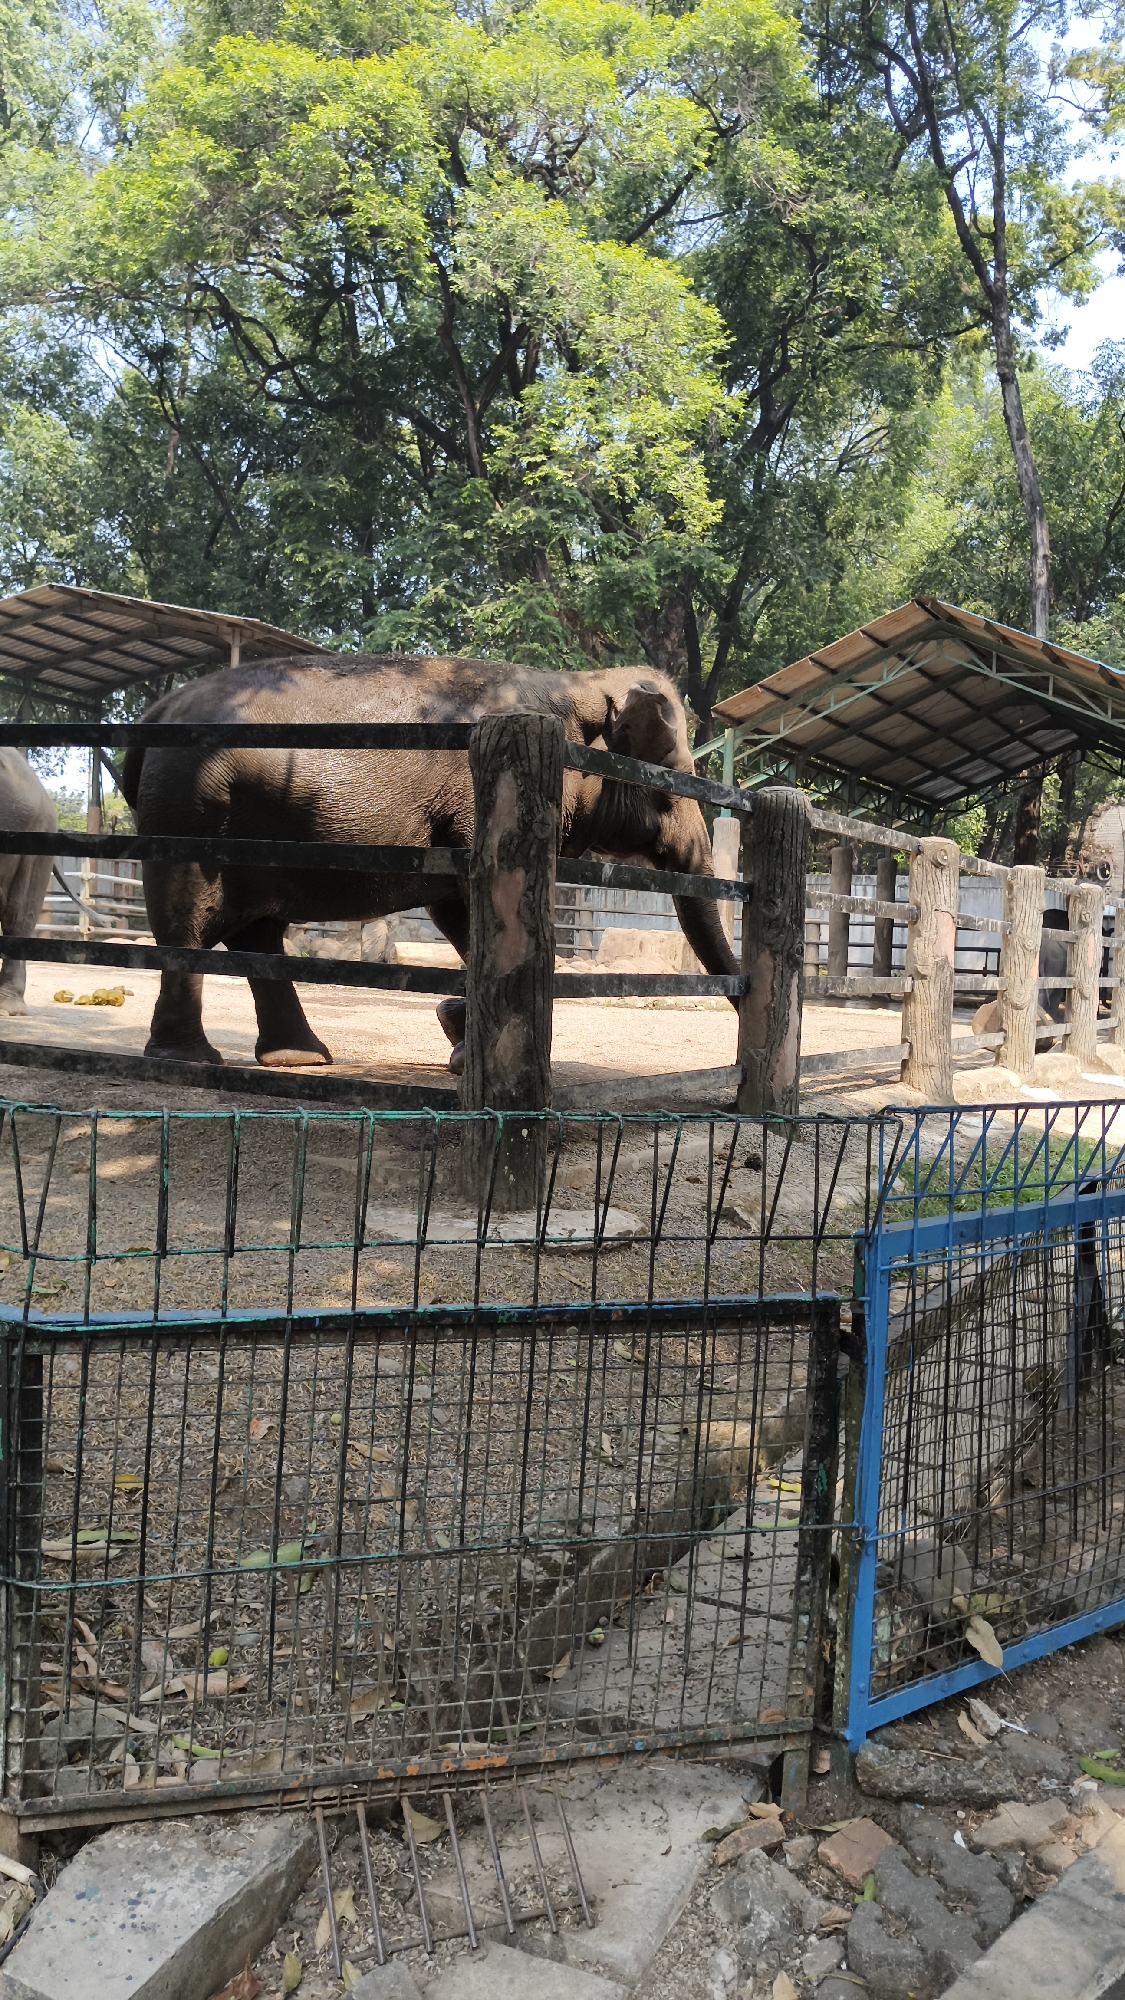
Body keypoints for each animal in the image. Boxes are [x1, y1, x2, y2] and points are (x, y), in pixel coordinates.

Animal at [118, 655, 739, 1072]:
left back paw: (300, 1059)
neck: (579, 683)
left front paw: (459, 1038)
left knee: (257, 933)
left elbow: (458, 914)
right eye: (674, 785)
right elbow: (476, 911)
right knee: (189, 921)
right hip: (190, 812)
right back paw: (190, 1060)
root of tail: (156, 710)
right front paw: (467, 1044)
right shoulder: (485, 804)